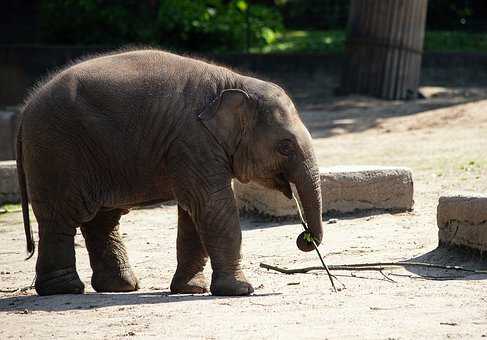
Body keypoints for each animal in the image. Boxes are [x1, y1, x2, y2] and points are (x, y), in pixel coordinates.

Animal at [17, 49, 324, 296]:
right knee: (62, 216)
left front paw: (192, 289)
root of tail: (26, 106)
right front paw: (241, 290)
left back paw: (121, 286)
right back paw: (65, 289)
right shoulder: (193, 140)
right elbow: (212, 205)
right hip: (56, 151)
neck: (235, 82)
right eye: (285, 146)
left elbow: (193, 212)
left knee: (102, 219)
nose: (305, 237)